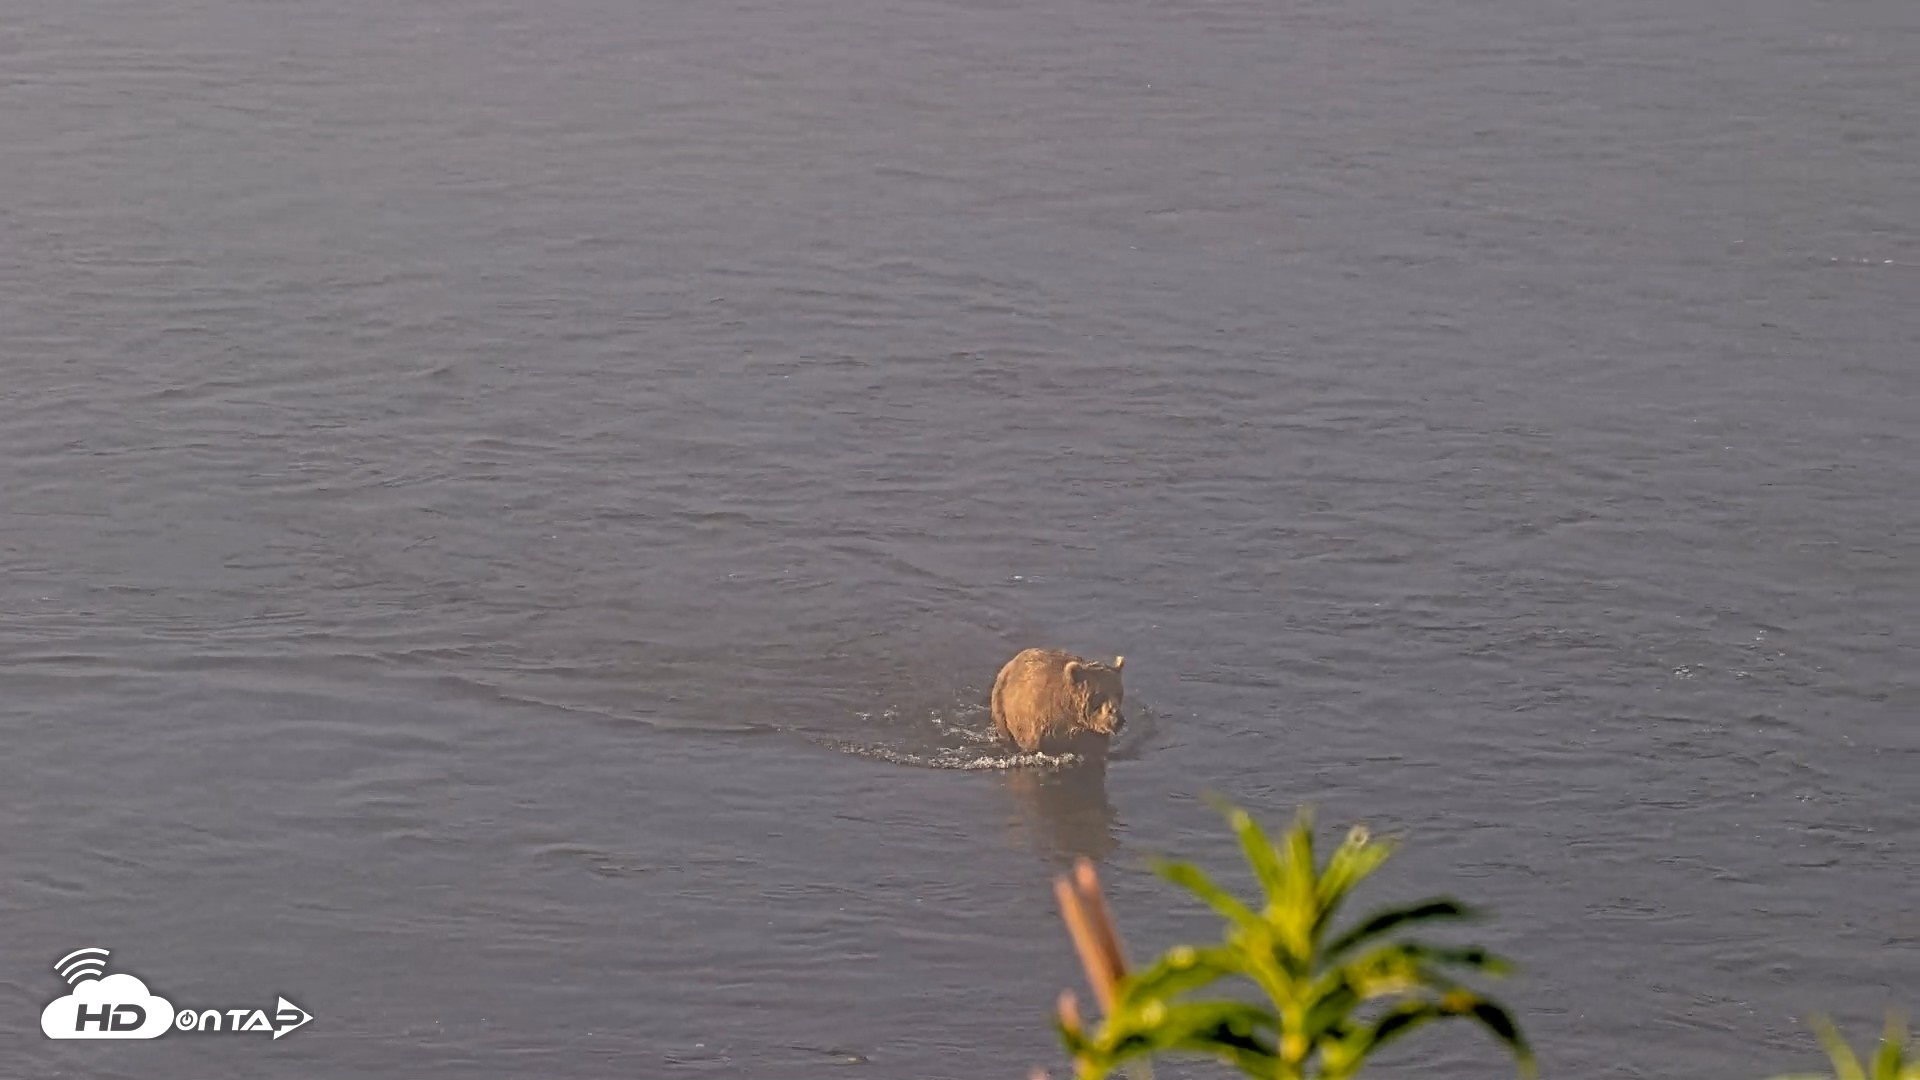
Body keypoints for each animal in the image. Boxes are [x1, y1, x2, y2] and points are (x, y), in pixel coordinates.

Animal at [990, 648, 1127, 755]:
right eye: (1098, 694)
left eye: (1119, 693)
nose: (1117, 719)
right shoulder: (1043, 726)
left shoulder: (1090, 734)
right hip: (1001, 704)